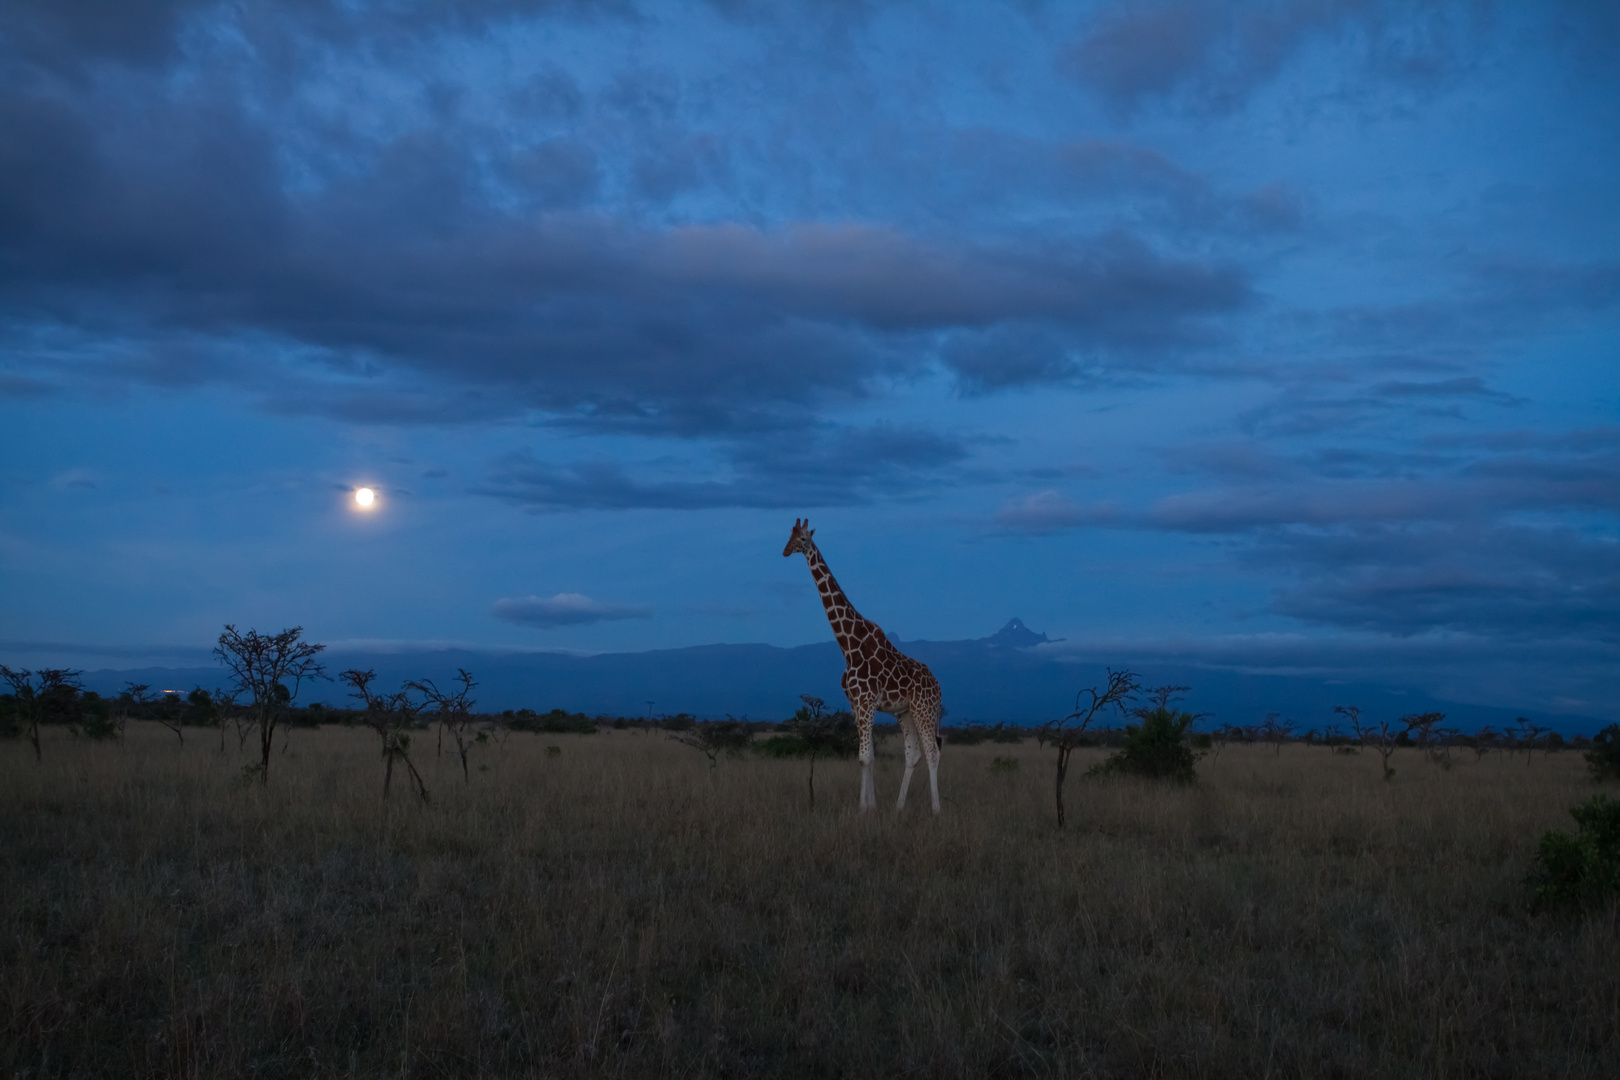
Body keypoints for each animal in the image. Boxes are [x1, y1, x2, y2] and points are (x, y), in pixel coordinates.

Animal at [780, 518, 946, 809]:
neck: (849, 645)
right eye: (789, 536)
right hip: (905, 712)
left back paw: (936, 810)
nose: (785, 551)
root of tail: (939, 687)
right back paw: (899, 808)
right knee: (913, 755)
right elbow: (865, 757)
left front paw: (865, 808)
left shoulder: (867, 701)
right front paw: (870, 807)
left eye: (803, 539)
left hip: (924, 709)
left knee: (933, 752)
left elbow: (866, 756)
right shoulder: (855, 703)